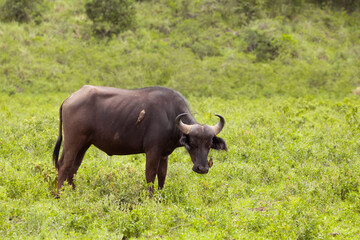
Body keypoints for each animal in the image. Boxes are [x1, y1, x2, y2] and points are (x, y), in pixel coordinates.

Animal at [52, 85, 228, 194]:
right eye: (192, 143)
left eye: (209, 144)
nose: (202, 168)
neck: (170, 117)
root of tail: (69, 99)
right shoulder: (153, 151)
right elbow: (150, 175)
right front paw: (149, 199)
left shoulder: (164, 154)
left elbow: (162, 175)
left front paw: (160, 197)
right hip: (73, 142)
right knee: (64, 165)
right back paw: (59, 195)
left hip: (84, 144)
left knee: (73, 168)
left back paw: (73, 193)